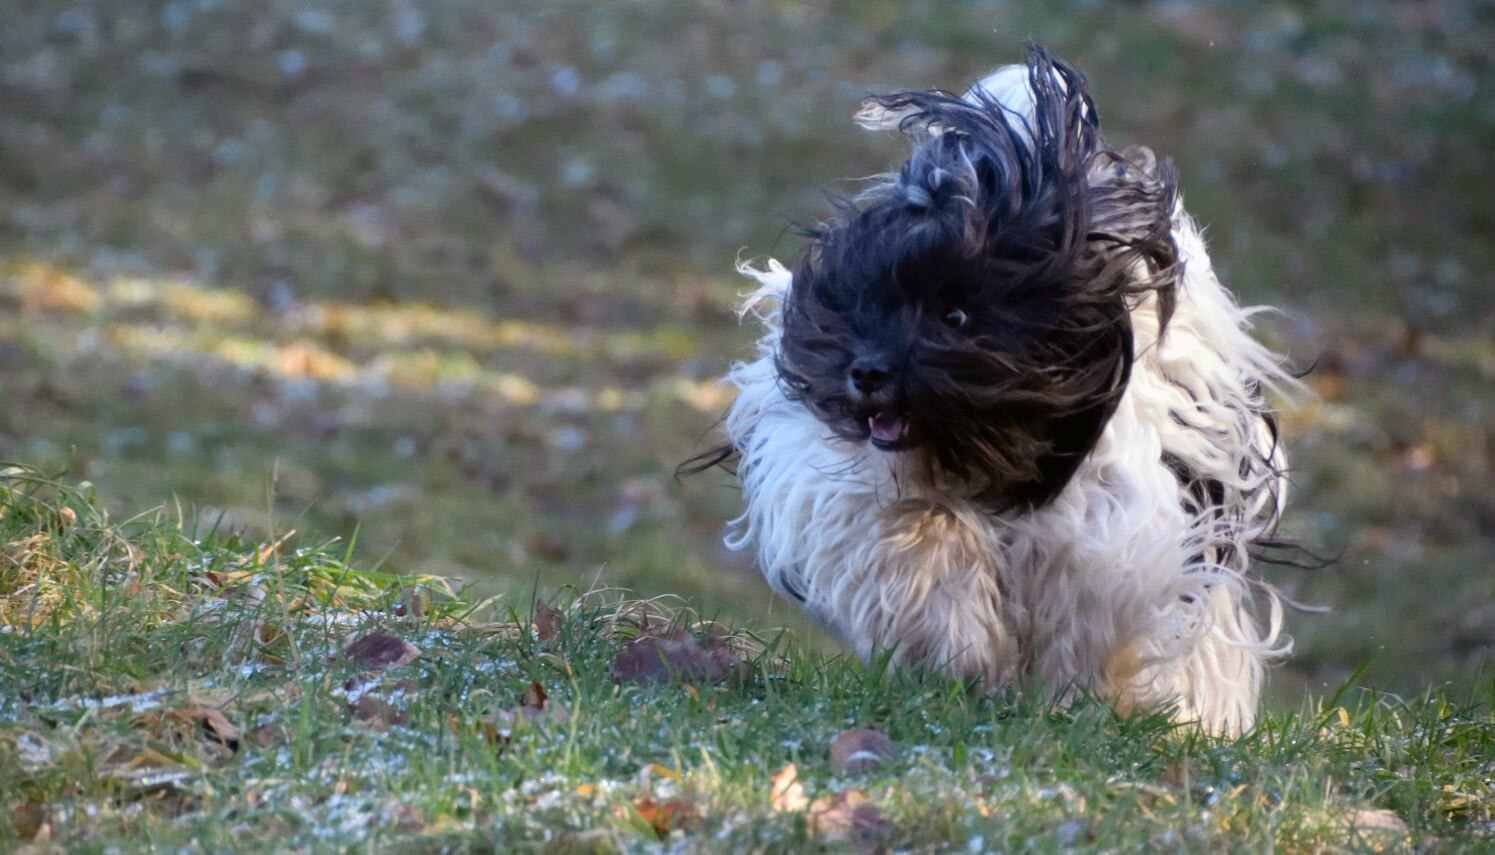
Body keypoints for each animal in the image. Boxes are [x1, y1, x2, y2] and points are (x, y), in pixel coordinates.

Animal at [696, 45, 1296, 736]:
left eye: (956, 315)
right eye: (873, 301)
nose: (868, 373)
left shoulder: (1112, 528)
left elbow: (1084, 608)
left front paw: (1077, 697)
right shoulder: (848, 484)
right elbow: (917, 541)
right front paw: (956, 650)